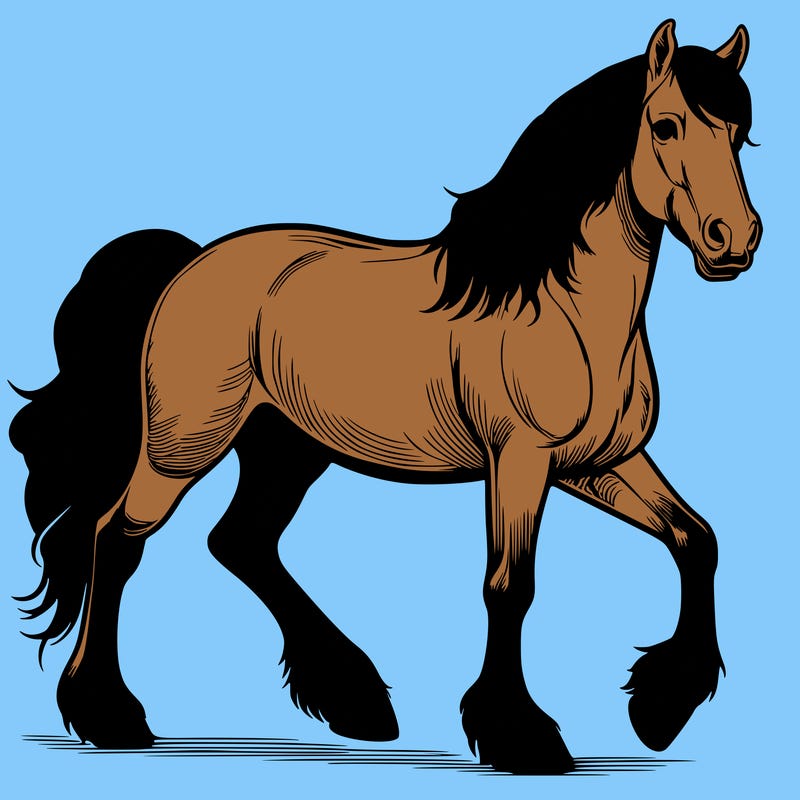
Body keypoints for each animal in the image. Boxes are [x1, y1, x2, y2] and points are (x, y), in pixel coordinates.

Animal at [10, 20, 760, 774]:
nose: (735, 240)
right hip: (183, 446)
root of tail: (189, 264)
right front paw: (522, 735)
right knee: (116, 539)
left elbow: (696, 539)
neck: (560, 308)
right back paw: (111, 715)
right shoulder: (520, 461)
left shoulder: (598, 464)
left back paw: (356, 701)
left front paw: (661, 709)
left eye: (740, 132)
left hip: (286, 450)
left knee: (240, 542)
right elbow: (509, 586)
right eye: (665, 125)